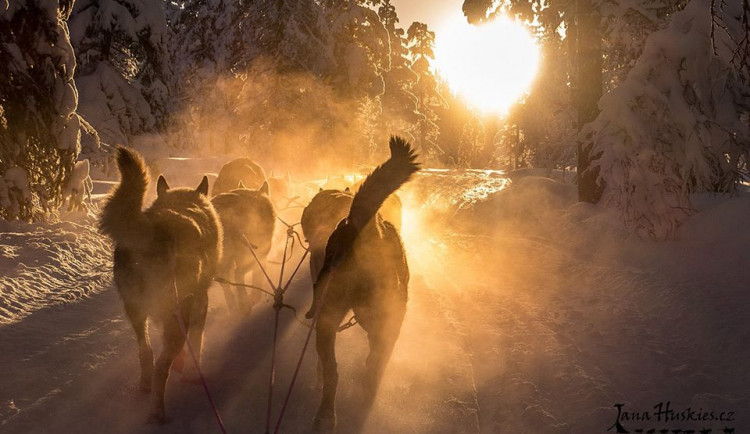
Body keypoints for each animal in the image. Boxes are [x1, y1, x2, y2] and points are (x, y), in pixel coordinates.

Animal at [97, 147, 220, 422]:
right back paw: (157, 411)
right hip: (176, 317)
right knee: (161, 367)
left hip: (136, 312)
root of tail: (154, 230)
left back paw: (145, 386)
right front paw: (192, 372)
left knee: (146, 352)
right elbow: (197, 342)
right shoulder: (200, 302)